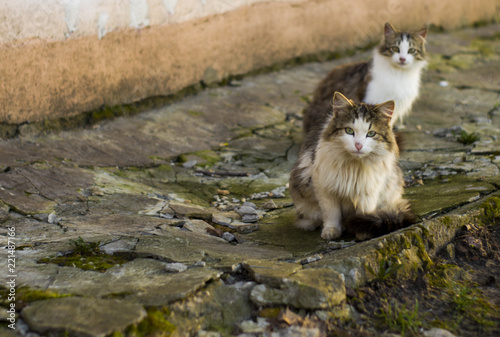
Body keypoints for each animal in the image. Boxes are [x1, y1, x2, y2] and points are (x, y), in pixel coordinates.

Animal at [290, 91, 414, 239]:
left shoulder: (368, 191)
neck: (353, 166)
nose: (358, 145)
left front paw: (362, 232)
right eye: (349, 131)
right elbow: (331, 214)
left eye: (371, 133)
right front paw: (331, 231)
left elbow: (364, 213)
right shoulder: (325, 188)